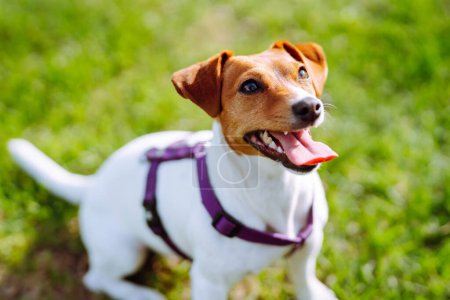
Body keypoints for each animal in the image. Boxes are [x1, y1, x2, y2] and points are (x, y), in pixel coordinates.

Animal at [7, 40, 338, 300]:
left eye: (302, 72)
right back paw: (142, 295)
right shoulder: (208, 283)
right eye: (250, 86)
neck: (274, 186)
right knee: (98, 278)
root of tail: (92, 183)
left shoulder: (308, 248)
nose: (310, 106)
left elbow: (304, 280)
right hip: (125, 252)